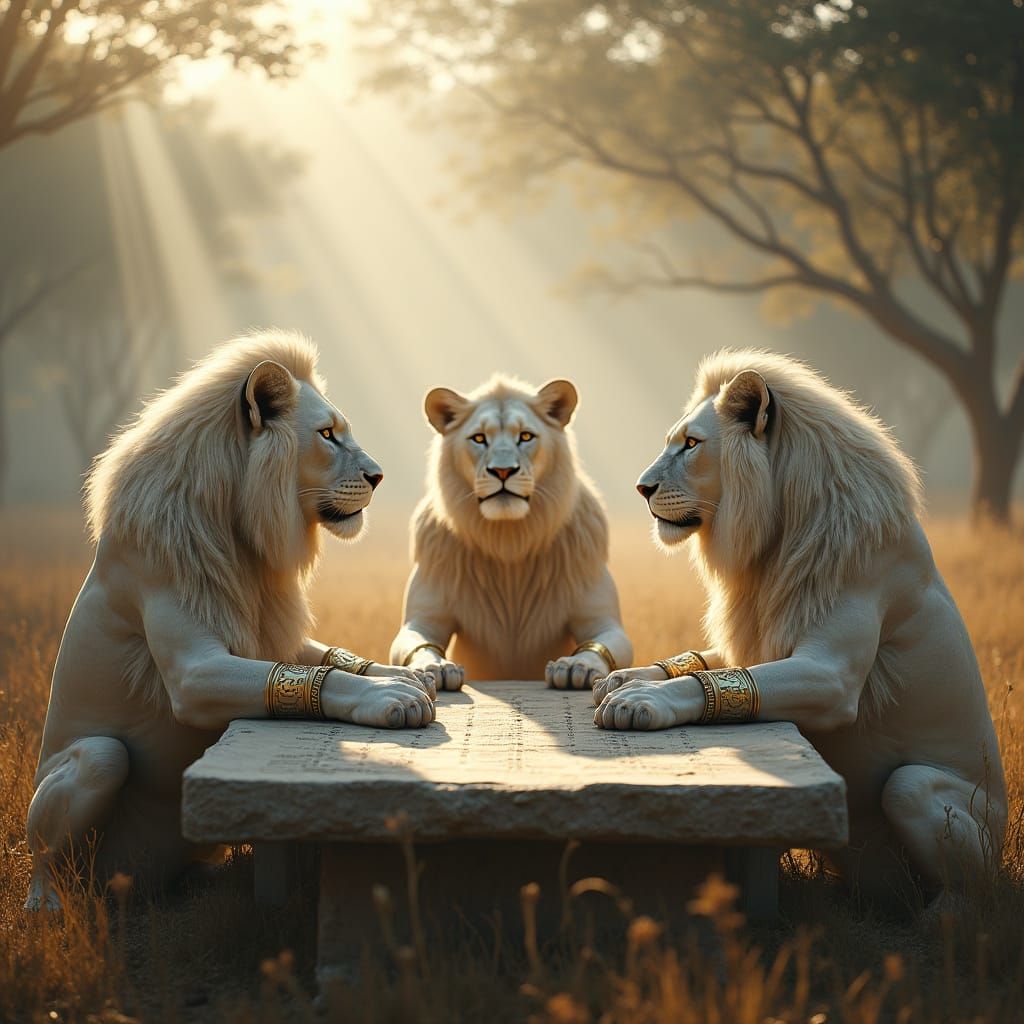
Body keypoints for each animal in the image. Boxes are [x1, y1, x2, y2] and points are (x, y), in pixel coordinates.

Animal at [25, 331, 435, 911]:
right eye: (327, 435)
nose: (378, 477)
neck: (245, 536)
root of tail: (129, 885)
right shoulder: (192, 668)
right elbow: (308, 680)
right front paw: (391, 697)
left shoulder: (268, 627)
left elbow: (323, 659)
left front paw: (411, 673)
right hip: (93, 774)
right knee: (57, 848)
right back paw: (47, 904)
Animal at [390, 375, 632, 689]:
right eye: (479, 438)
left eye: (525, 436)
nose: (503, 471)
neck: (510, 540)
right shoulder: (424, 617)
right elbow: (418, 643)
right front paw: (437, 667)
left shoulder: (602, 618)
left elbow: (599, 644)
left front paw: (576, 666)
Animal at [592, 348, 1007, 906]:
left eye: (692, 444)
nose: (641, 489)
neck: (774, 536)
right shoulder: (760, 636)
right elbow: (712, 663)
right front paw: (623, 676)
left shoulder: (832, 672)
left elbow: (725, 682)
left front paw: (640, 700)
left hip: (930, 799)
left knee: (960, 869)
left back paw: (945, 917)